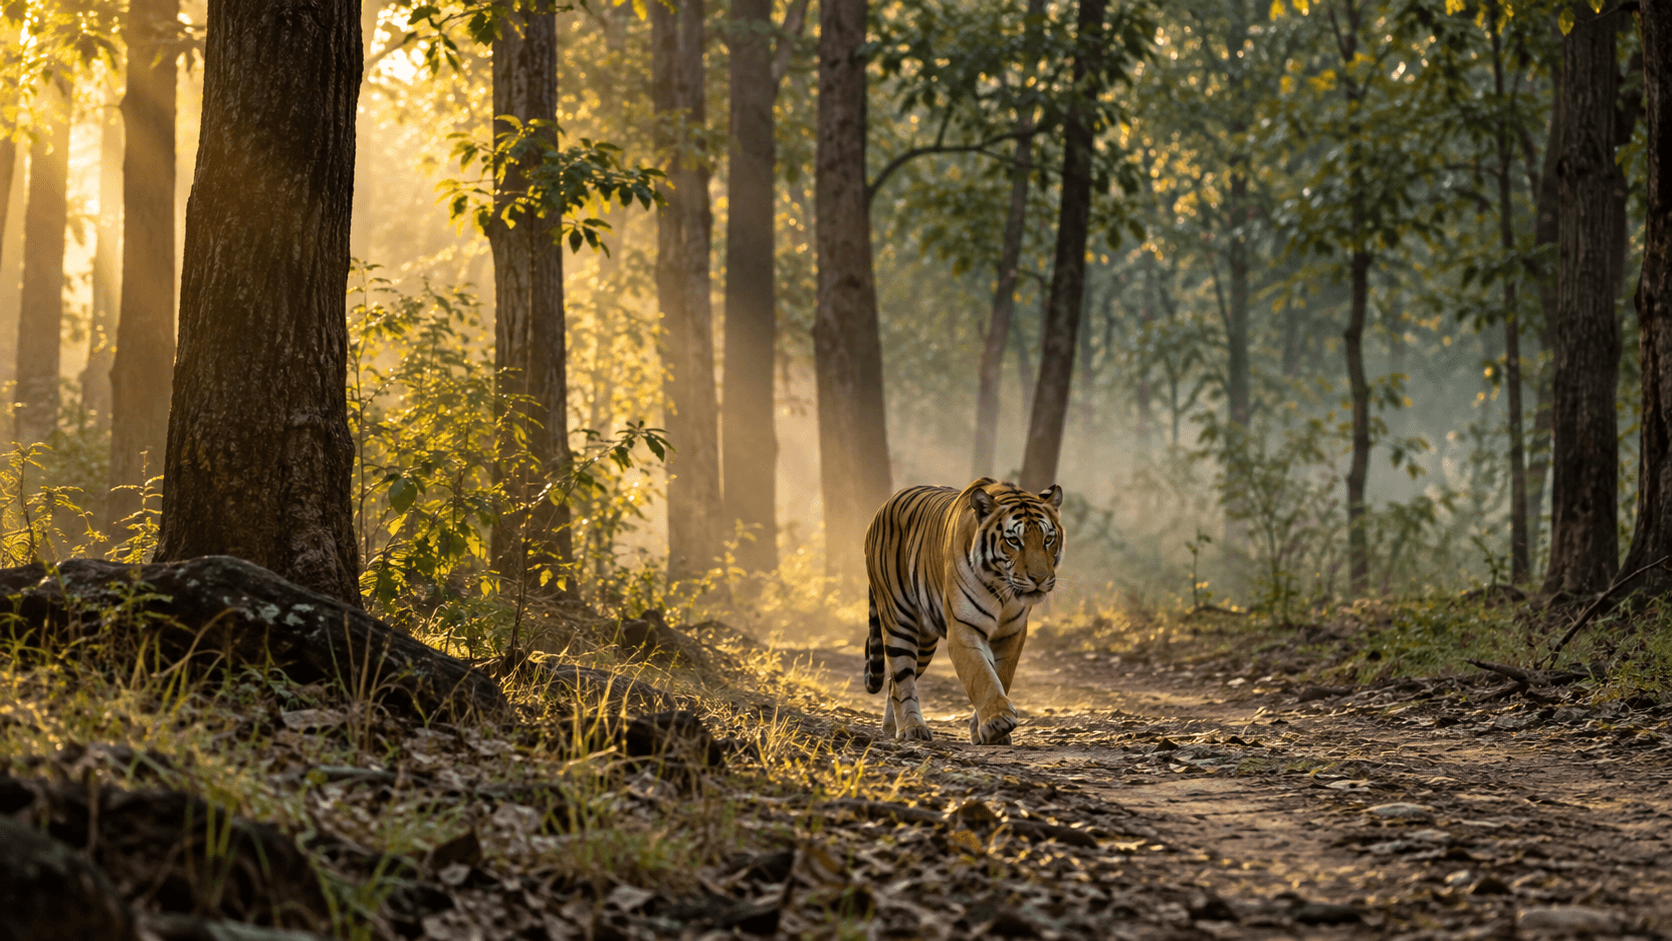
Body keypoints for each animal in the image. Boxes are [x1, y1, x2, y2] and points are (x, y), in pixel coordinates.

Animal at [862, 477, 1064, 745]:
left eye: (1048, 539)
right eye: (1014, 541)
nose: (1039, 579)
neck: (1003, 588)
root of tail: (883, 506)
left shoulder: (1012, 634)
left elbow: (1001, 675)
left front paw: (985, 730)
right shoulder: (964, 629)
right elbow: (981, 675)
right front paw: (997, 722)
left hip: (924, 641)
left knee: (893, 682)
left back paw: (891, 727)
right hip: (899, 620)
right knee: (902, 677)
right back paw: (911, 728)